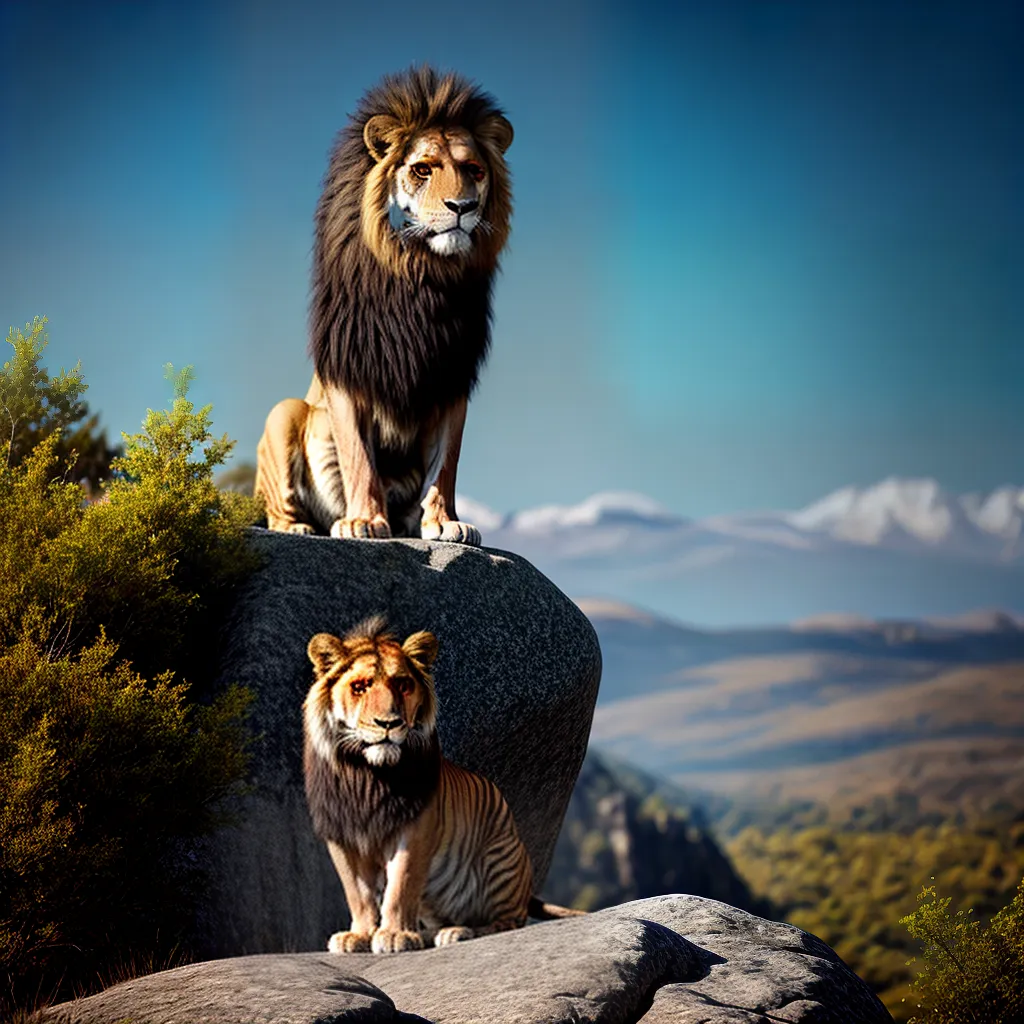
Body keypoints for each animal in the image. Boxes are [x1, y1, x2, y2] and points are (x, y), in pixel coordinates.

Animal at [302, 617, 581, 953]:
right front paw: (359, 935)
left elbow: (401, 883)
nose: (389, 723)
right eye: (360, 686)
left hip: (500, 857)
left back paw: (459, 932)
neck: (367, 775)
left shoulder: (416, 826)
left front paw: (394, 934)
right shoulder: (339, 833)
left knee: (508, 922)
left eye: (403, 685)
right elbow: (357, 893)